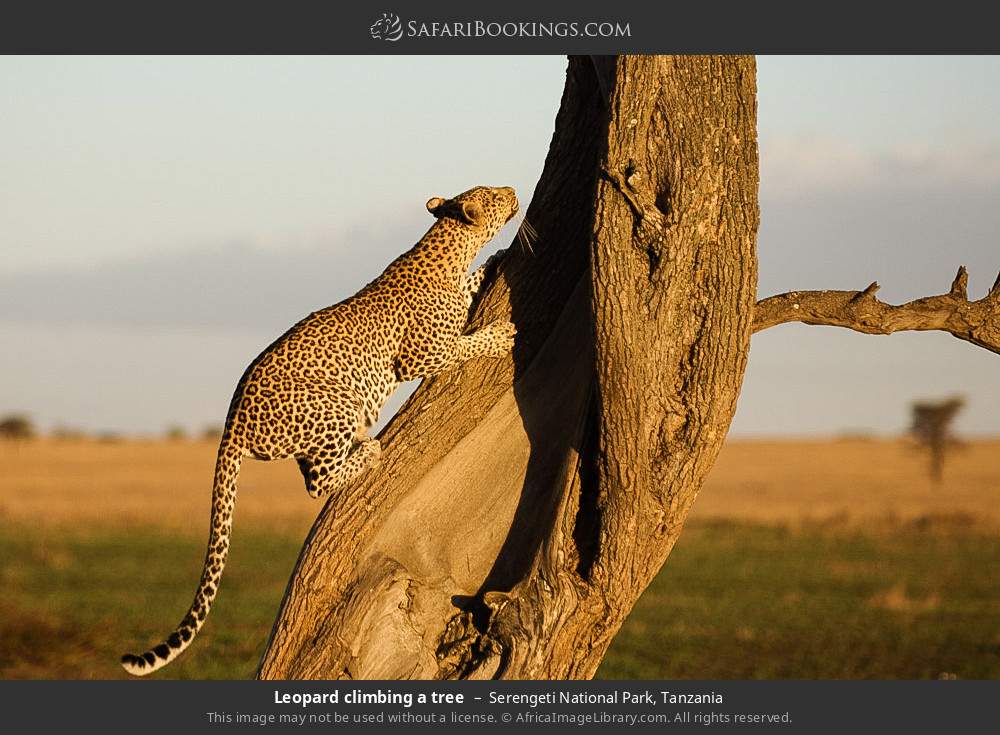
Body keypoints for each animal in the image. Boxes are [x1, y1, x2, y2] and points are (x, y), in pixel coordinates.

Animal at [120, 185, 520, 676]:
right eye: (493, 193)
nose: (513, 191)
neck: (445, 246)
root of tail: (231, 423)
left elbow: (471, 286)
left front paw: (496, 258)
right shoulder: (422, 354)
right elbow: (465, 343)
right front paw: (500, 334)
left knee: (310, 473)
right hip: (337, 403)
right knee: (317, 482)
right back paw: (368, 451)